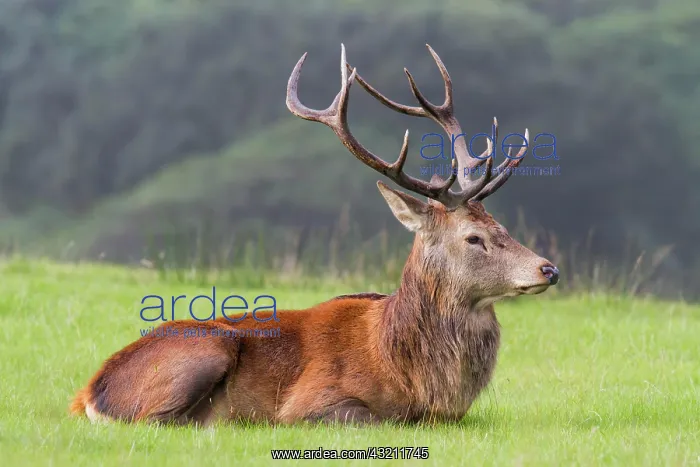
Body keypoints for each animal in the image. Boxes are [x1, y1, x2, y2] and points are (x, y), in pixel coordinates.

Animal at [70, 44, 559, 426]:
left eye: (503, 227)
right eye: (473, 237)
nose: (548, 269)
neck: (412, 376)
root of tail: (89, 394)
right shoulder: (311, 402)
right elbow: (373, 418)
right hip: (206, 347)